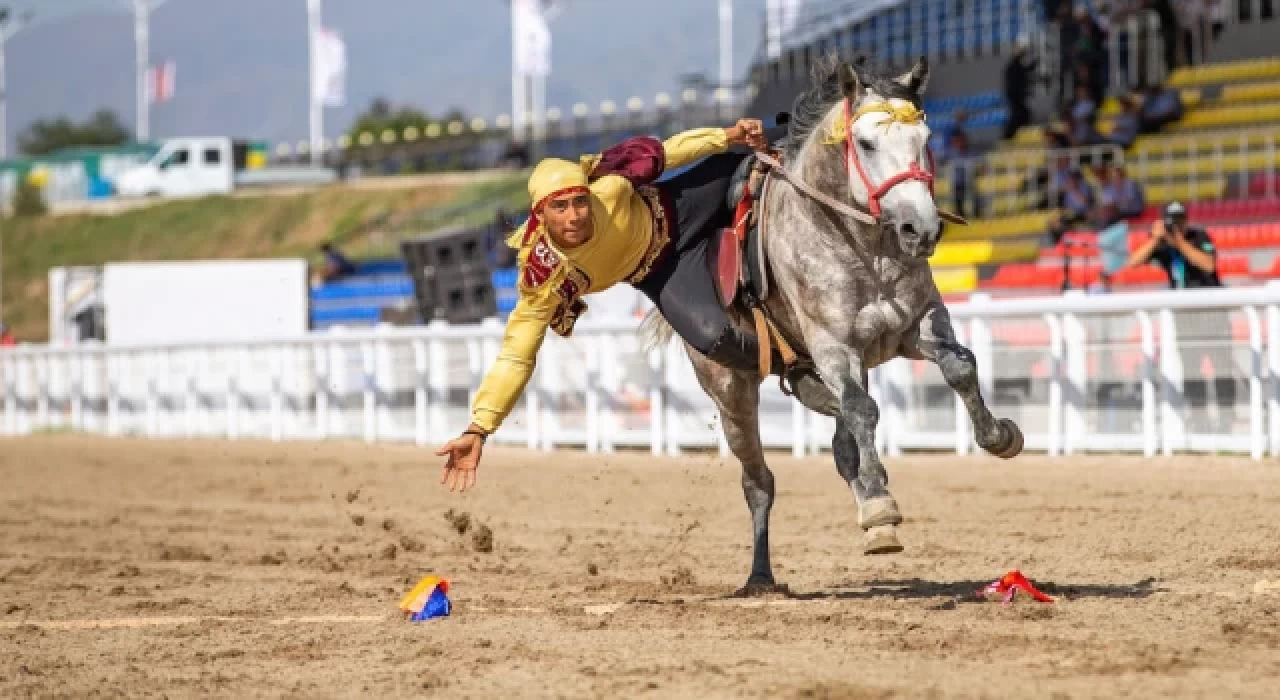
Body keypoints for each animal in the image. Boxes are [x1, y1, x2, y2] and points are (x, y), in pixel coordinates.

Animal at [645, 53, 1024, 596]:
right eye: (865, 143)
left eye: (925, 139)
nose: (922, 229)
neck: (864, 247)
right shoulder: (833, 346)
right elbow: (864, 411)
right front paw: (882, 501)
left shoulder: (915, 325)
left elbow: (960, 366)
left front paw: (998, 436)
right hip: (731, 388)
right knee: (759, 480)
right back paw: (763, 574)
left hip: (815, 375)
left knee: (842, 442)